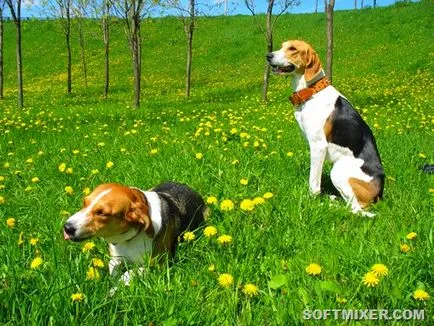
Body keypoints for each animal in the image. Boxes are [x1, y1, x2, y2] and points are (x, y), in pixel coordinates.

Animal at [63, 182, 208, 286]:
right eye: (84, 202)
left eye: (102, 213)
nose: (67, 227)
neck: (130, 239)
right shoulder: (116, 258)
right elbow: (113, 267)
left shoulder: (159, 264)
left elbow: (129, 272)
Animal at [266, 39, 384, 215]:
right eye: (282, 46)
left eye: (293, 49)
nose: (268, 56)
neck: (312, 91)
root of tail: (380, 194)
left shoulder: (318, 146)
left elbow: (314, 182)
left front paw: (311, 201)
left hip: (338, 170)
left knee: (355, 208)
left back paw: (328, 205)